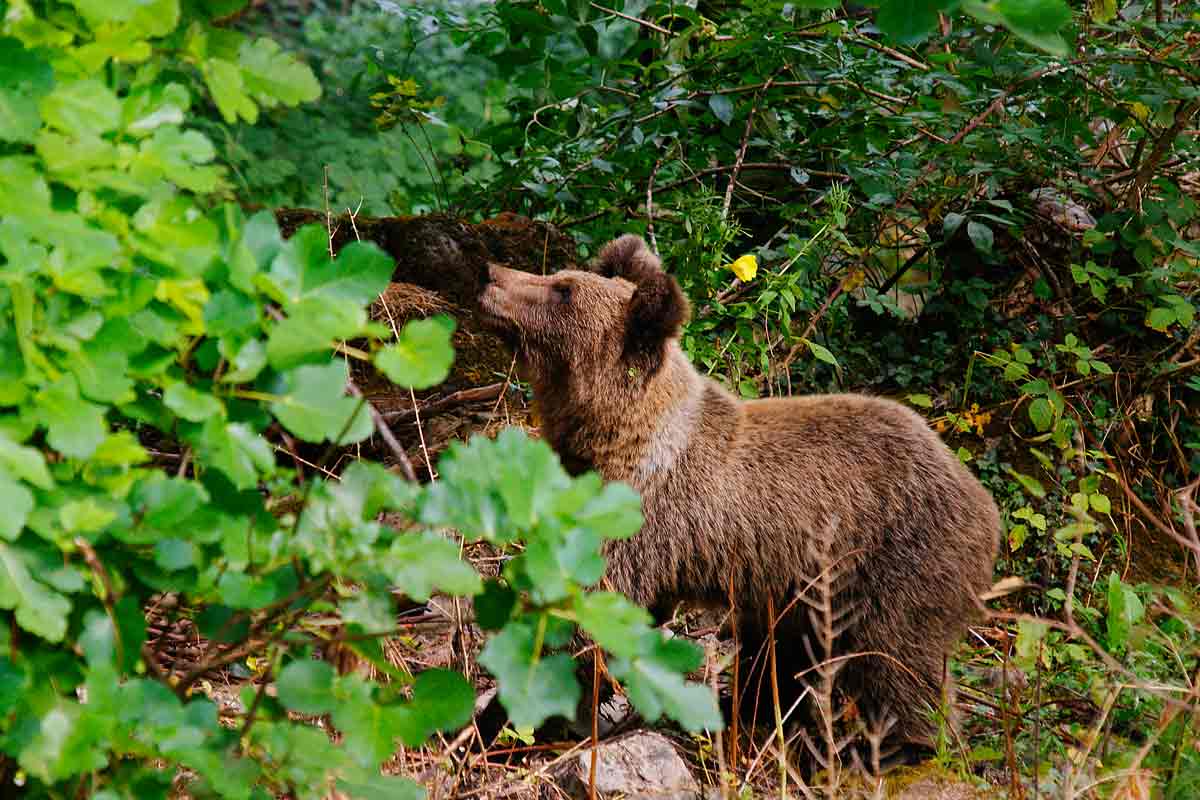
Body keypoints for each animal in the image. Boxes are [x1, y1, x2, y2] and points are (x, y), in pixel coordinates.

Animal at [477, 233, 1000, 750]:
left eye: (563, 290)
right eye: (561, 277)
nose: (489, 274)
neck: (615, 437)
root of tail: (984, 504)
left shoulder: (637, 520)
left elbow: (580, 618)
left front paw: (500, 720)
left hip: (894, 563)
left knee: (896, 661)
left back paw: (902, 746)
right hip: (803, 594)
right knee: (786, 656)